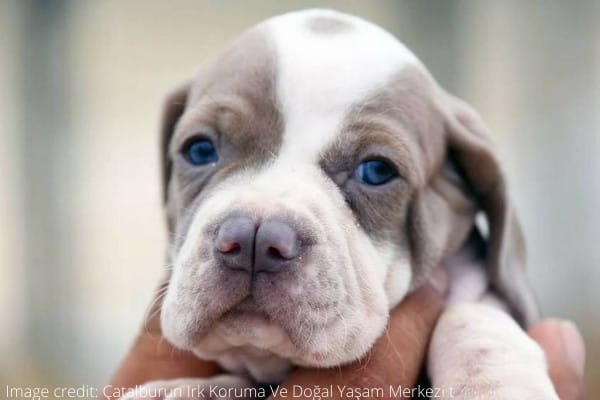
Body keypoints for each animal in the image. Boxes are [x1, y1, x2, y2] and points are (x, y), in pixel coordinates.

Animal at [129, 9, 560, 400]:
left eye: (377, 170)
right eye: (200, 150)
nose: (253, 241)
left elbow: (471, 314)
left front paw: (495, 383)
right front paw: (178, 391)